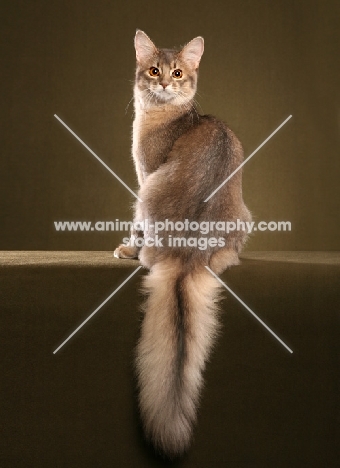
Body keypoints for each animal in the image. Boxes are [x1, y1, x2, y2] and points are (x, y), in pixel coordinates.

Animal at [114, 31, 250, 458]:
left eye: (177, 73)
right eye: (153, 70)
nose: (163, 84)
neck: (165, 115)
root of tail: (189, 253)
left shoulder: (143, 175)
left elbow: (136, 227)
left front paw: (127, 248)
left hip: (148, 193)